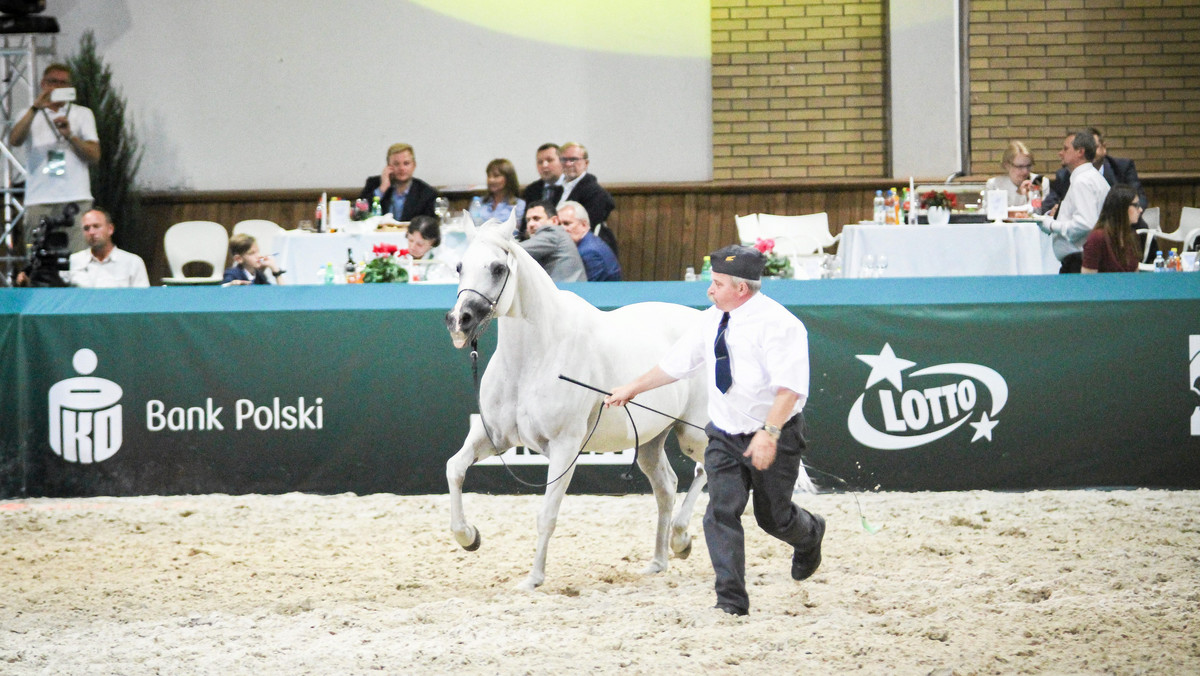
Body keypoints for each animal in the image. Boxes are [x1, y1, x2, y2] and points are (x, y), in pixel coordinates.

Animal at [448, 213, 710, 590]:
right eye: (459, 266)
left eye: (498, 268)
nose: (460, 320)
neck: (535, 357)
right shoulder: (493, 436)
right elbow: (455, 468)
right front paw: (469, 537)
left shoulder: (565, 446)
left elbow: (547, 514)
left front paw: (533, 579)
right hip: (651, 440)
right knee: (666, 487)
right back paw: (659, 561)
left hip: (695, 433)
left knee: (708, 470)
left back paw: (681, 538)